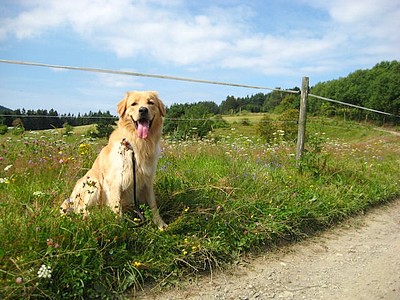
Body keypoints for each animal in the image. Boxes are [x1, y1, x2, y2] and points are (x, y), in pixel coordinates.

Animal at [61, 90, 168, 229]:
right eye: (134, 104)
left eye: (151, 102)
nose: (143, 110)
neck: (137, 144)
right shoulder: (116, 181)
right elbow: (117, 209)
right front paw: (121, 228)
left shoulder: (147, 180)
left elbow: (153, 205)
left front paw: (161, 224)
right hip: (93, 183)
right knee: (81, 210)